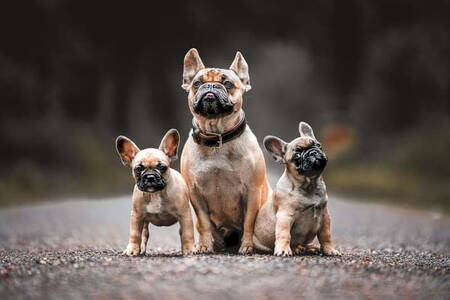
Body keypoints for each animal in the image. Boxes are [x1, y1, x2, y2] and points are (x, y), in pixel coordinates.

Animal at [180, 48, 270, 253]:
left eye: (228, 83)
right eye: (197, 83)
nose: (211, 86)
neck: (217, 137)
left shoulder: (252, 191)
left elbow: (249, 222)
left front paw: (247, 246)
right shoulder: (195, 194)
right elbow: (204, 223)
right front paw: (205, 245)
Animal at [253, 123, 342, 256]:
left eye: (319, 145)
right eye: (297, 154)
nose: (313, 152)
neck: (309, 184)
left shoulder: (325, 216)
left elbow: (326, 235)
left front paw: (330, 250)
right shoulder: (285, 216)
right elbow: (284, 234)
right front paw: (283, 250)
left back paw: (309, 247)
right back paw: (296, 249)